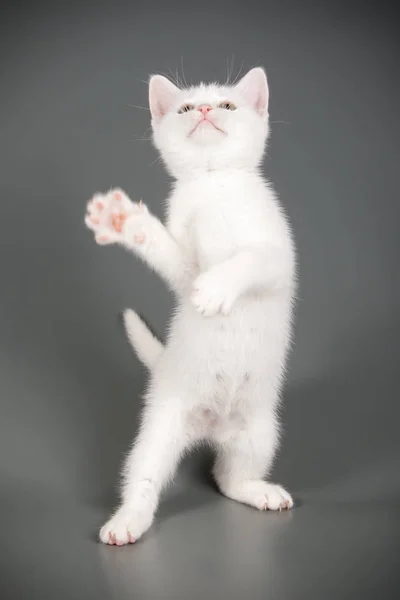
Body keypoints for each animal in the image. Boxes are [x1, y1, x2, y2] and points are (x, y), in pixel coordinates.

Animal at [84, 65, 296, 544]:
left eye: (227, 105)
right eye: (184, 109)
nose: (202, 110)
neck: (215, 184)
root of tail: (212, 427)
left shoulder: (278, 255)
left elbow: (251, 258)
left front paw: (217, 289)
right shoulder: (184, 266)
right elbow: (176, 262)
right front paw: (129, 223)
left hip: (261, 430)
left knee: (229, 477)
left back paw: (260, 491)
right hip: (160, 428)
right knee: (145, 477)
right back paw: (126, 522)